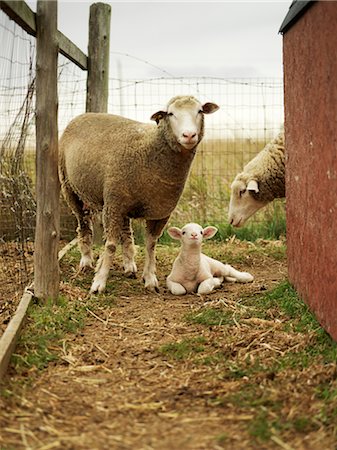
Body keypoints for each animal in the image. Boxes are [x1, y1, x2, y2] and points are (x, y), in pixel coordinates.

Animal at [59, 94, 219, 296]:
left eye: (199, 111)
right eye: (170, 113)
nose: (189, 135)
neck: (150, 151)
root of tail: (83, 115)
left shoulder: (159, 210)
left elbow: (151, 244)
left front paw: (150, 279)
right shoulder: (113, 205)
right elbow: (110, 245)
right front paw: (99, 283)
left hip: (122, 201)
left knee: (126, 232)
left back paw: (129, 266)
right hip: (71, 188)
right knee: (83, 225)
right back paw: (87, 261)